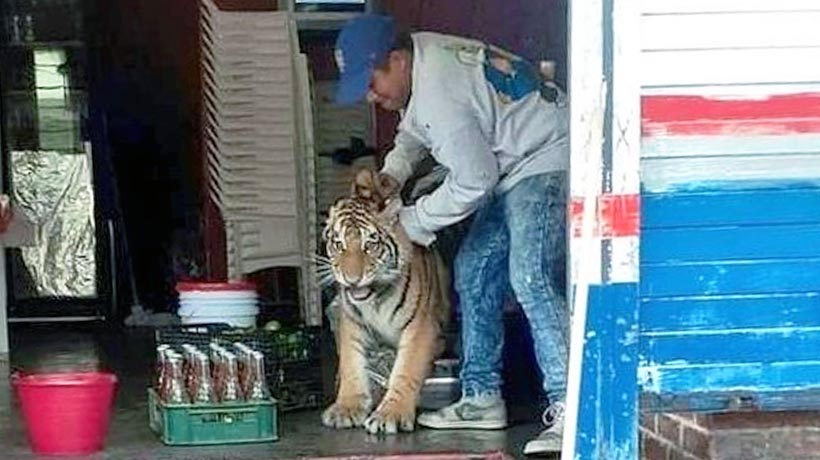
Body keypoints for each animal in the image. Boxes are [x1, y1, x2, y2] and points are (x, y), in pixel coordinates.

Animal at [318, 168, 452, 434]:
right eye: (338, 244)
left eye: (370, 244)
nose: (352, 279)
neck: (375, 301)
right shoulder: (352, 325)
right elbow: (351, 366)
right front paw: (347, 408)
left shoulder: (421, 328)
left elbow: (406, 370)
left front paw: (391, 414)